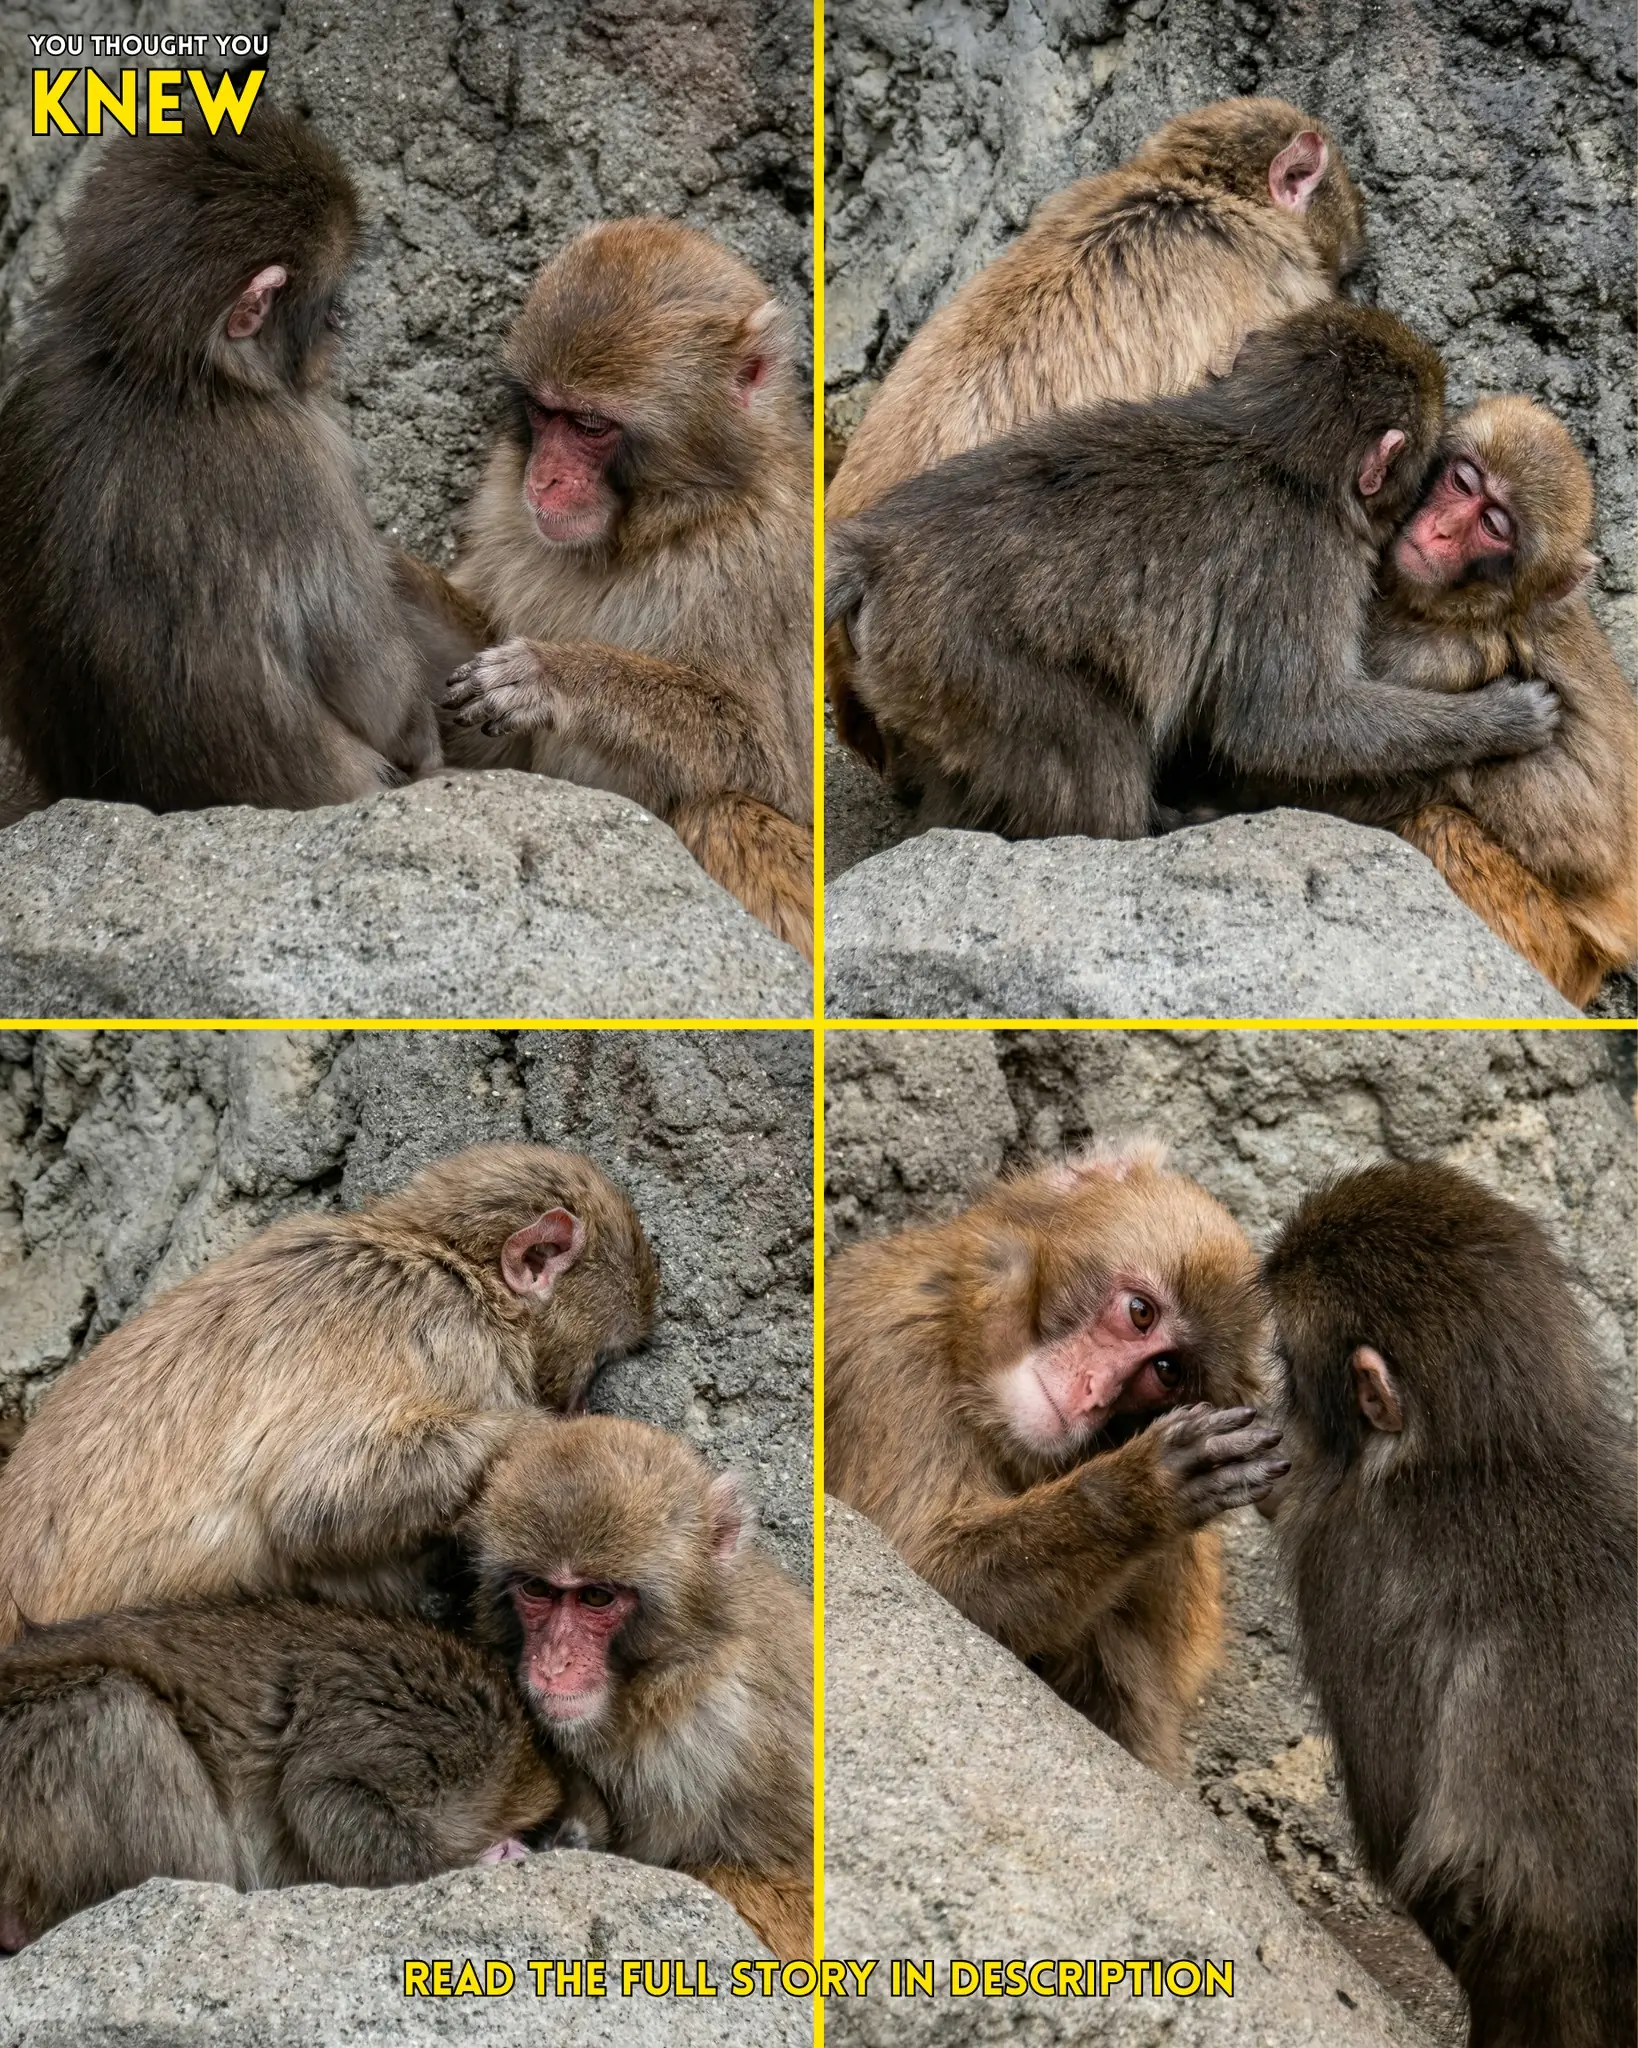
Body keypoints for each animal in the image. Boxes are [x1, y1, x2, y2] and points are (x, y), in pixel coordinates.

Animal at [0, 111, 446, 812]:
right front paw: (419, 734)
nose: (343, 319)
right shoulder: (303, 460)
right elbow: (367, 674)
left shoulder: (32, 399)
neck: (163, 373)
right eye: (327, 298)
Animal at [0, 1143, 657, 1644]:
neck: (447, 1262)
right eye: (600, 1362)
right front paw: (543, 1432)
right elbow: (311, 1503)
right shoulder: (447, 1337)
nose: (576, 1399)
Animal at [426, 219, 814, 958]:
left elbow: (773, 768)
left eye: (591, 426)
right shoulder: (499, 499)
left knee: (724, 811)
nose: (543, 480)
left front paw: (554, 675)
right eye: (544, 414)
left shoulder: (763, 562)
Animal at [824, 1139, 1285, 1778]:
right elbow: (924, 1570)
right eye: (1141, 1312)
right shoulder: (891, 1346)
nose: (1094, 1392)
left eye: (1166, 1372)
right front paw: (1138, 1492)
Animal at [826, 303, 1560, 841]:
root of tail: (880, 551)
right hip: (972, 661)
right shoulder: (1303, 560)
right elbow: (1289, 723)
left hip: (920, 680)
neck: (1271, 441)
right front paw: (1502, 718)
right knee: (1094, 744)